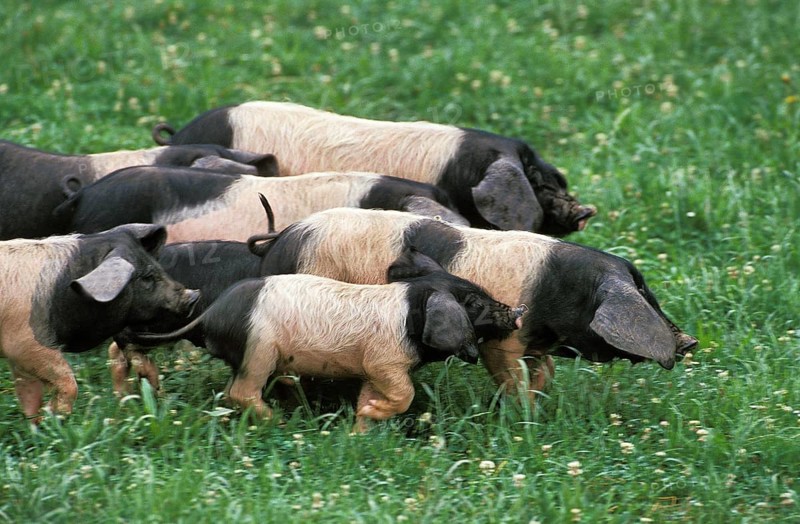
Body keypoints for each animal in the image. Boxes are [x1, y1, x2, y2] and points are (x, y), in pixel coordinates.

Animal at [0, 223, 200, 418]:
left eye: (158, 267)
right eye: (147, 277)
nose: (193, 296)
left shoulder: (20, 360)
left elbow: (29, 395)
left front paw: (39, 422)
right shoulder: (25, 343)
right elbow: (67, 381)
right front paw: (55, 415)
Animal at [128, 268, 524, 431]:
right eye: (474, 303)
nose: (517, 311)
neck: (411, 314)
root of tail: (210, 314)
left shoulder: (373, 371)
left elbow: (369, 397)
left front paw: (361, 427)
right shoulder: (385, 360)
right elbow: (405, 394)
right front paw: (376, 413)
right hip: (259, 349)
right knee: (239, 392)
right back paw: (280, 422)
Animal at [249, 208, 698, 401]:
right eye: (643, 297)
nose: (690, 341)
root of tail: (284, 238)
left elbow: (544, 373)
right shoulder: (505, 341)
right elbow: (511, 376)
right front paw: (521, 415)